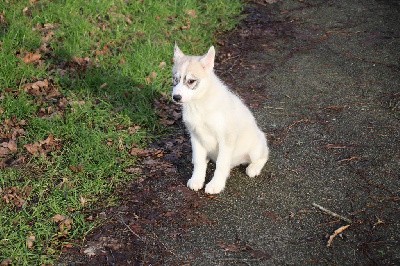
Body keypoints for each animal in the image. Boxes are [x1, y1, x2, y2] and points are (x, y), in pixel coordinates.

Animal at [172, 44, 268, 194]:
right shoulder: (195, 136)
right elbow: (199, 161)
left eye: (191, 81)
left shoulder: (226, 138)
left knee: (264, 155)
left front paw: (216, 184)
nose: (175, 97)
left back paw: (253, 168)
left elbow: (221, 165)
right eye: (175, 80)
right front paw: (197, 179)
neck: (199, 104)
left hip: (256, 148)